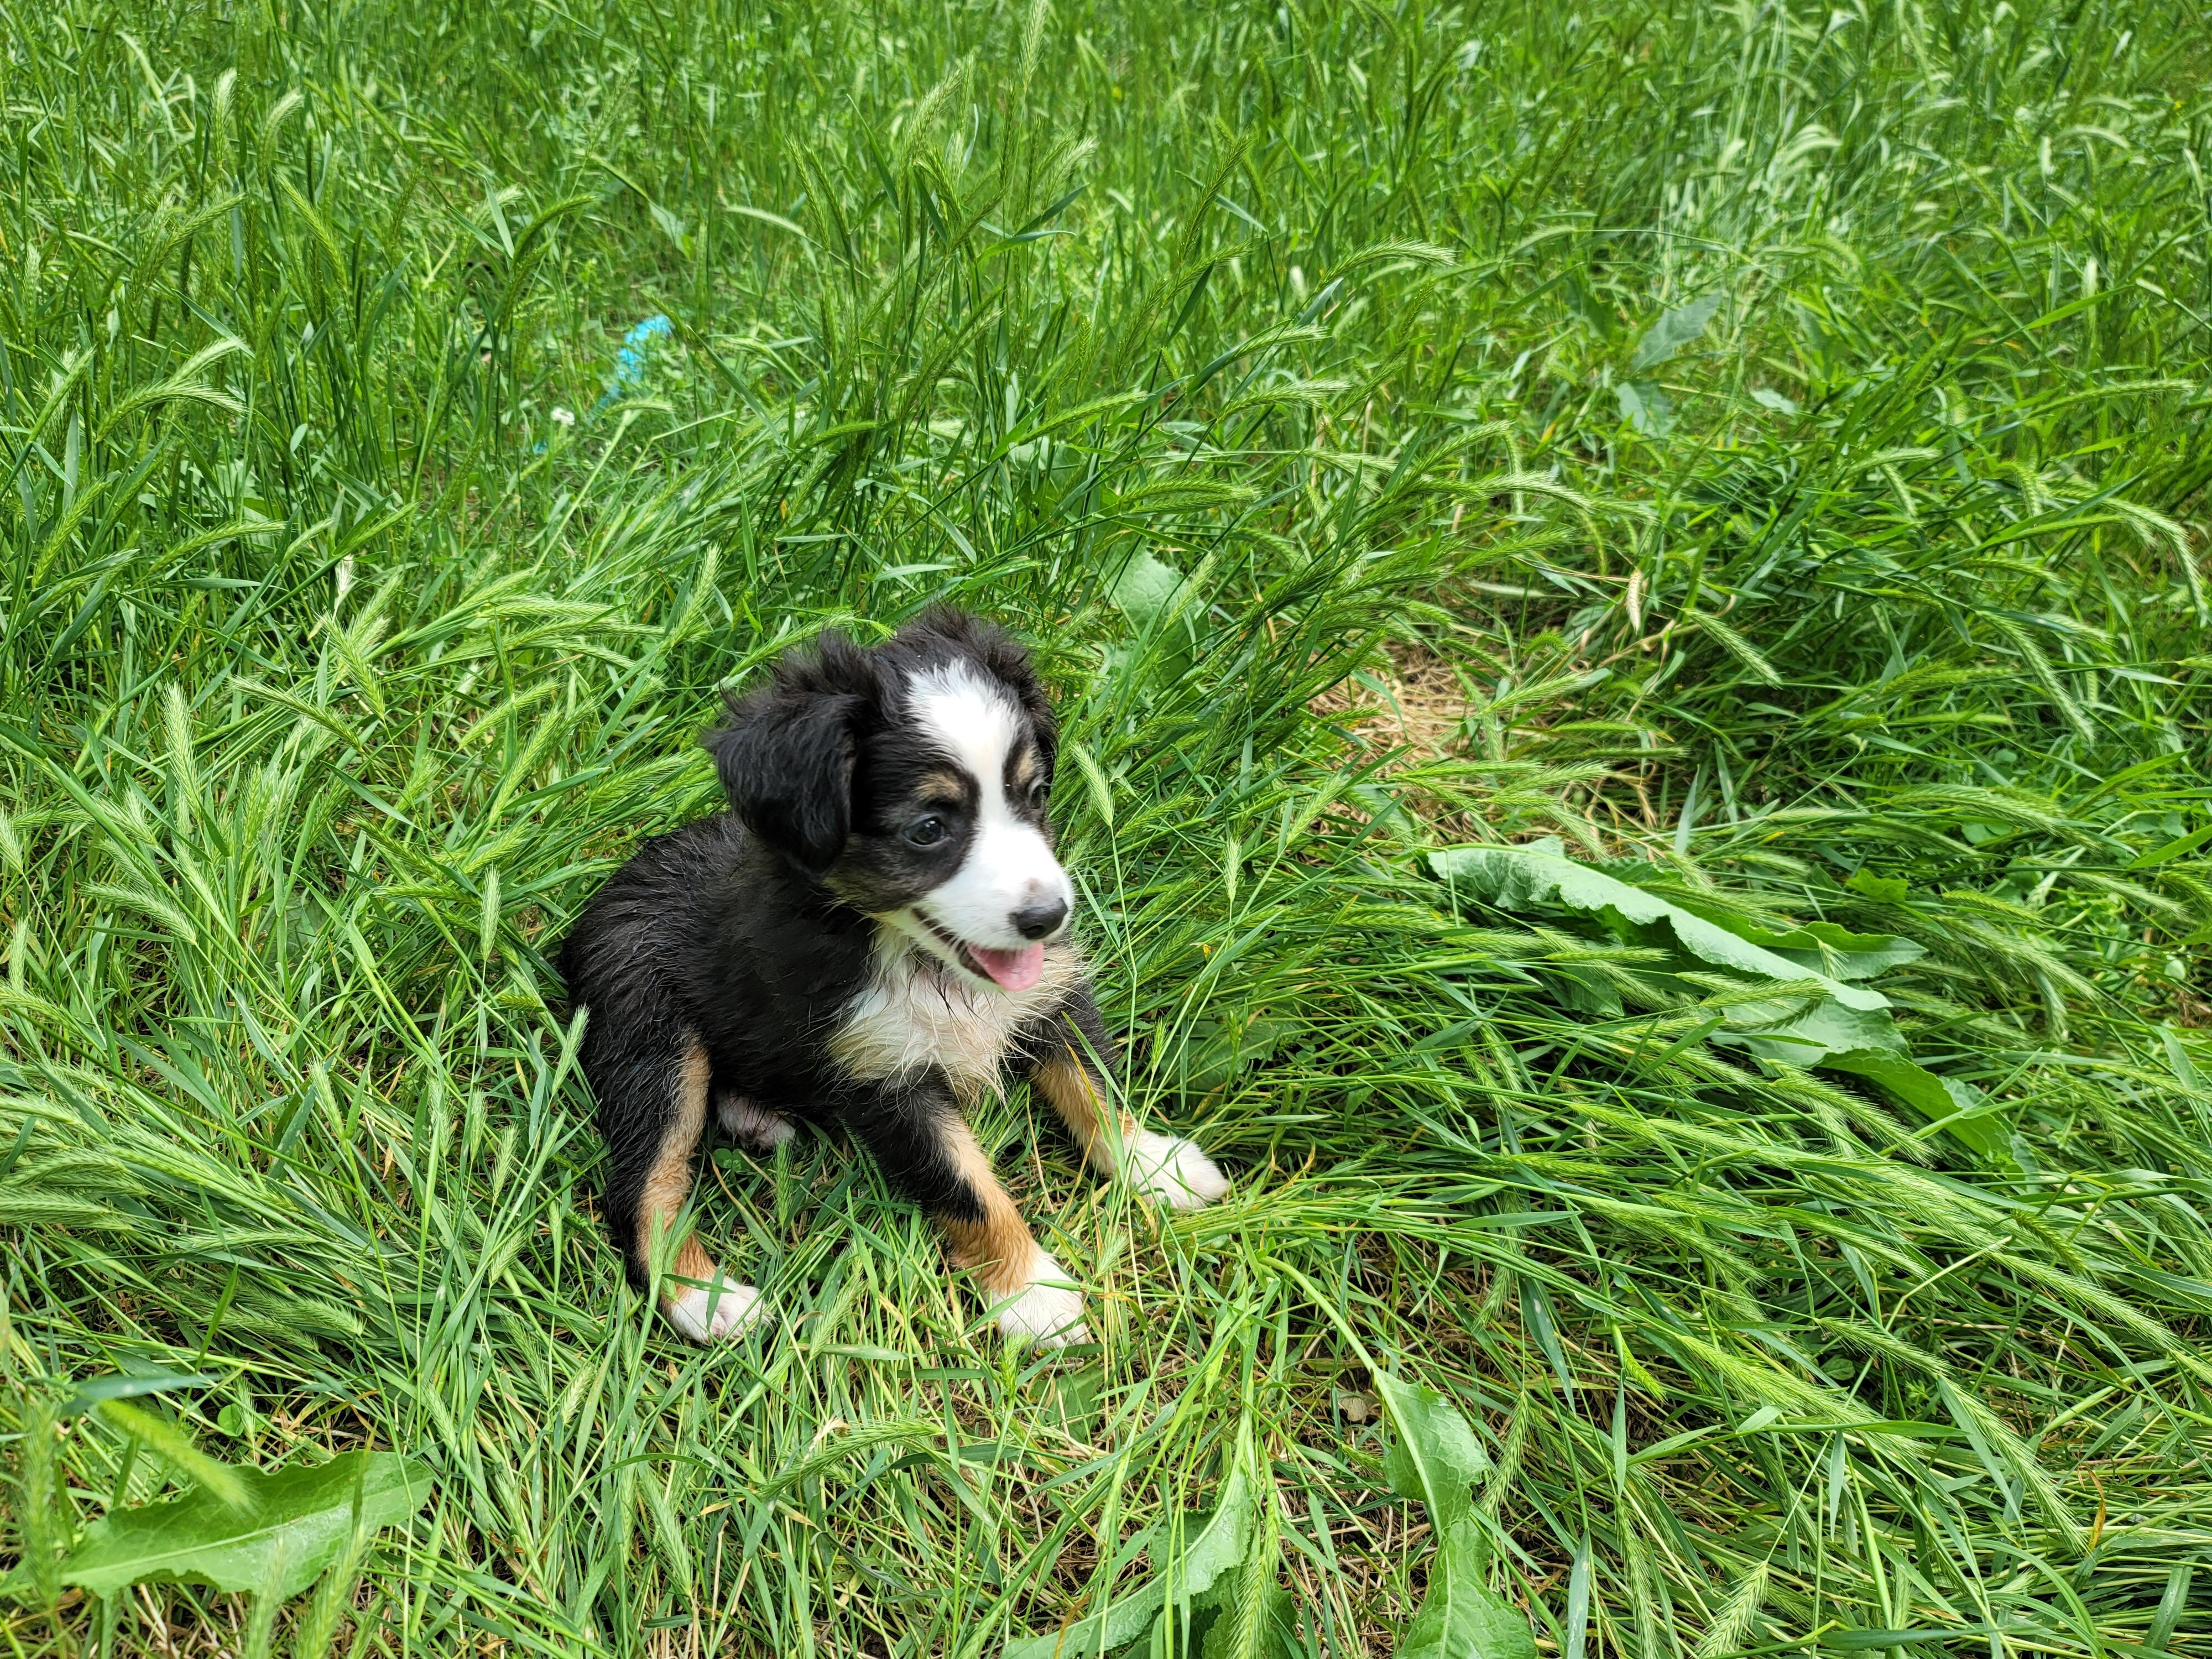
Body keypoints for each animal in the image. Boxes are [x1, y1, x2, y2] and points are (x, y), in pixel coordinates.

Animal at [558, 608, 1228, 1345]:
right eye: (928, 829)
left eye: (1035, 795)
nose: (1048, 916)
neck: (911, 957)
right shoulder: (881, 1076)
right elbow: (968, 1186)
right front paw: (1033, 1294)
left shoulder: (1051, 995)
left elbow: (1097, 1090)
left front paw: (1157, 1167)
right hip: (653, 1039)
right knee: (642, 1184)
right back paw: (705, 1300)